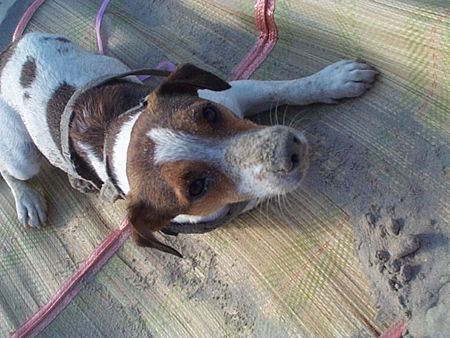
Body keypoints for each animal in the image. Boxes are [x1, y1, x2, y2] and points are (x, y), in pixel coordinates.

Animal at [0, 33, 380, 255]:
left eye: (208, 113)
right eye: (196, 188)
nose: (292, 148)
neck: (117, 136)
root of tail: (9, 48)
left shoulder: (234, 93)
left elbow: (286, 88)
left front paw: (335, 80)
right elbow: (261, 191)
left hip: (105, 62)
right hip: (22, 154)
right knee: (12, 171)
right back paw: (29, 200)